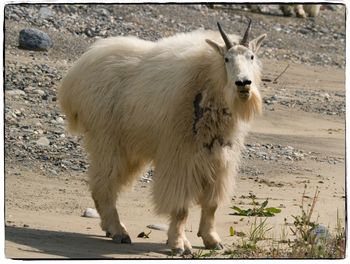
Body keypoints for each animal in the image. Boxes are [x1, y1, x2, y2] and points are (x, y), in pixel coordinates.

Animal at [58, 19, 266, 255]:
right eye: (227, 59)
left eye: (251, 56)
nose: (243, 84)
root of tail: (75, 76)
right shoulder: (180, 157)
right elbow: (181, 207)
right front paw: (179, 245)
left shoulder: (220, 157)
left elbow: (211, 204)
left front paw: (212, 240)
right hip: (108, 139)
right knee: (104, 184)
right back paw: (119, 231)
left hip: (130, 148)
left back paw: (111, 229)